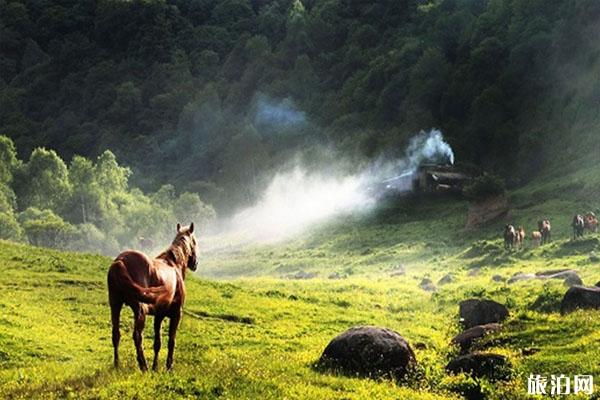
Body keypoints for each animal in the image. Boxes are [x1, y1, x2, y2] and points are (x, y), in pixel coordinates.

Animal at [108, 222, 199, 372]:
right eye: (195, 242)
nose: (195, 263)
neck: (174, 265)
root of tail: (120, 261)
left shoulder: (159, 315)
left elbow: (157, 342)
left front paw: (155, 367)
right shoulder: (176, 314)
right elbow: (171, 341)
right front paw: (168, 367)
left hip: (115, 305)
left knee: (116, 334)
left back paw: (117, 365)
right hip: (139, 311)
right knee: (137, 336)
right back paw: (143, 365)